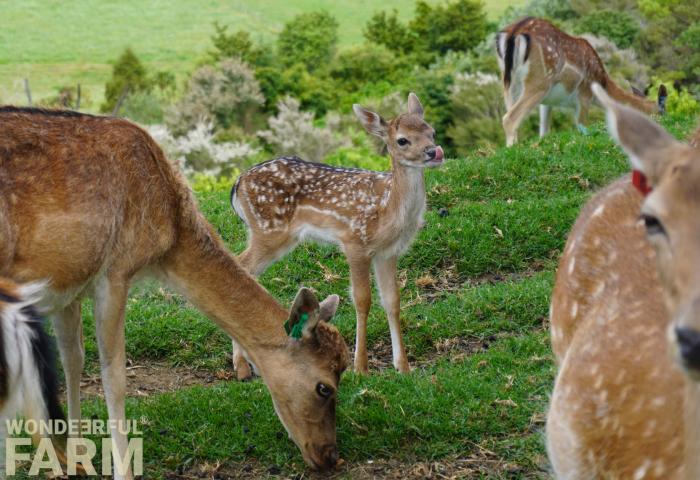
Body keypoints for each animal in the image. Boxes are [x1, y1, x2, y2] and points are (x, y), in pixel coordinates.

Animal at [0, 107, 350, 478]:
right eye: (324, 386)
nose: (330, 456)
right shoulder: (115, 271)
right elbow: (113, 376)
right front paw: (120, 469)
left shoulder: (70, 285)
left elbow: (72, 360)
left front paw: (76, 456)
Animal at [232, 94, 446, 376]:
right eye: (402, 140)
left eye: (431, 131)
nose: (434, 151)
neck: (387, 208)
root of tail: (237, 184)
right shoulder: (355, 241)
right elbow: (362, 300)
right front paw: (361, 367)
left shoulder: (387, 252)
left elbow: (392, 301)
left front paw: (403, 367)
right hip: (269, 230)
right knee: (241, 265)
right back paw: (241, 365)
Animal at [494, 17, 664, 146]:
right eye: (661, 113)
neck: (601, 82)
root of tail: (515, 32)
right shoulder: (584, 96)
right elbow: (582, 127)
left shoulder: (547, 102)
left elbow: (544, 132)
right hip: (540, 81)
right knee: (509, 119)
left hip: (508, 81)